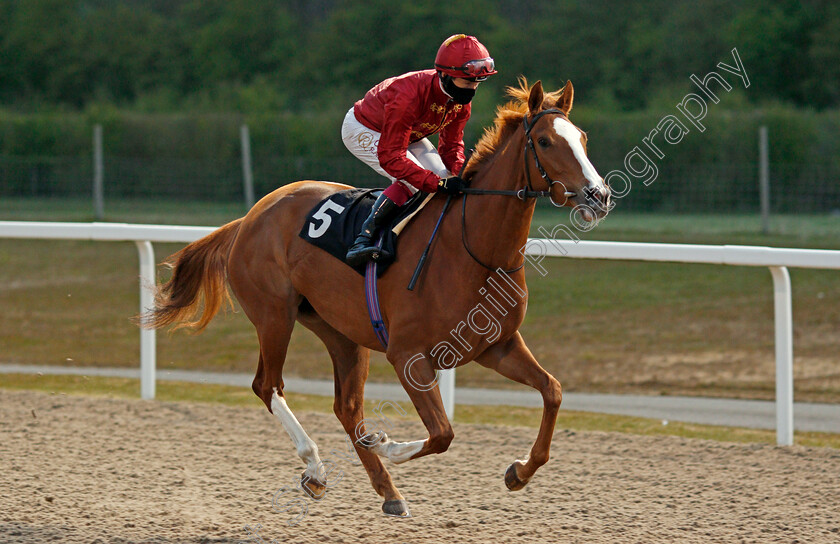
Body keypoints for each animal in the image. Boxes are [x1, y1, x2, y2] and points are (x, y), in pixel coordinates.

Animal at [146, 78, 612, 516]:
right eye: (546, 141)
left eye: (583, 137)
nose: (599, 195)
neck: (474, 250)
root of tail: (250, 216)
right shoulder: (408, 355)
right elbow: (442, 433)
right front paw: (386, 444)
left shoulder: (495, 346)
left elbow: (552, 391)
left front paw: (519, 471)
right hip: (273, 315)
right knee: (269, 385)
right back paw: (317, 468)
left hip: (340, 331)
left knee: (347, 407)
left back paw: (389, 493)